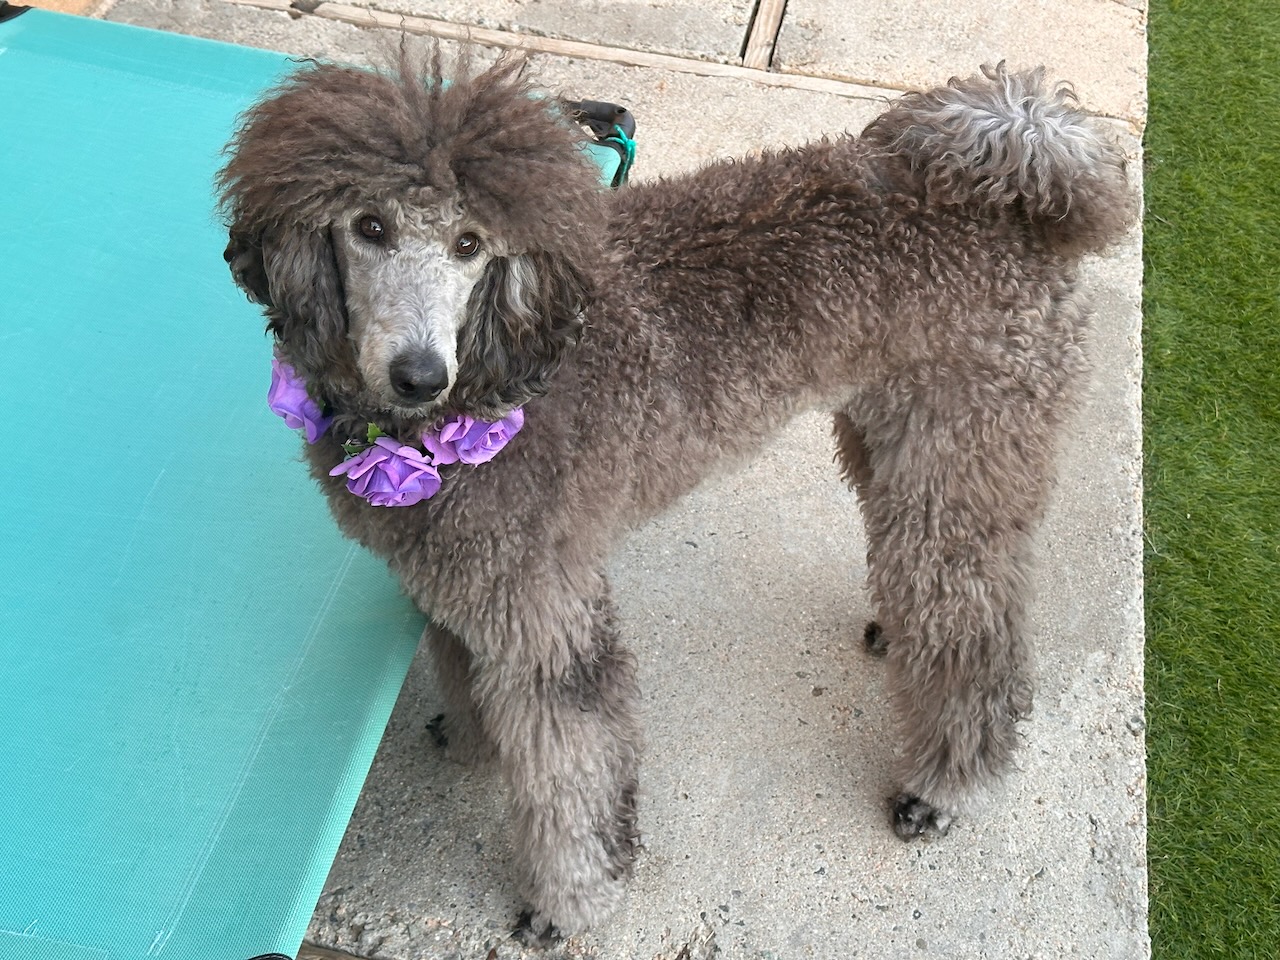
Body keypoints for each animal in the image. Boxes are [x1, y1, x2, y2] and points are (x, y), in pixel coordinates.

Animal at [218, 49, 1133, 942]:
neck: (498, 365)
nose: (418, 374)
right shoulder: (458, 589)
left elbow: (574, 771)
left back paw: (945, 788)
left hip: (961, 462)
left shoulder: (547, 617)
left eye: (471, 243)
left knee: (976, 623)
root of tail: (1022, 185)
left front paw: (569, 903)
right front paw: (477, 744)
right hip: (889, 440)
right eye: (369, 227)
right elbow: (464, 673)